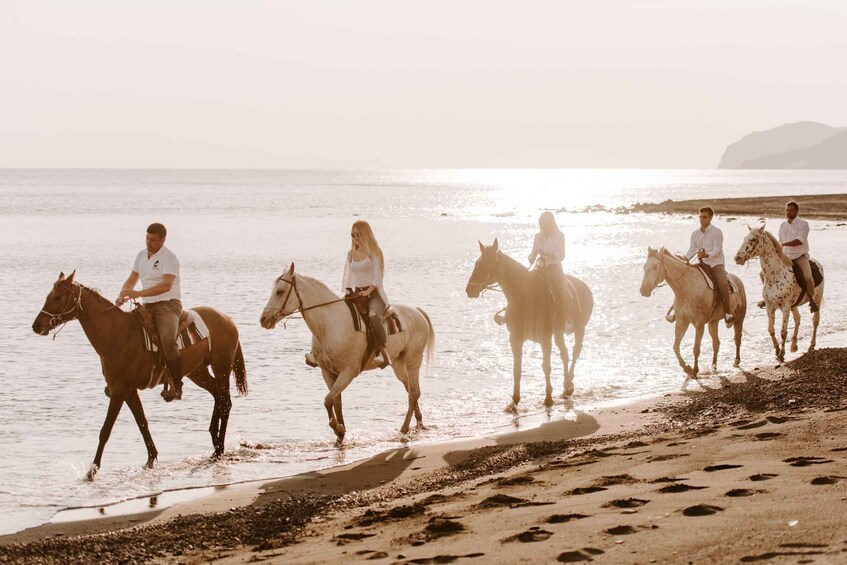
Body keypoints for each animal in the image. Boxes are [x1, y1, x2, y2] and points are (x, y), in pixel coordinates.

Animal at [30, 270, 248, 478]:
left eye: (57, 297)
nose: (36, 325)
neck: (117, 334)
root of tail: (227, 319)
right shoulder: (129, 392)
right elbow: (142, 423)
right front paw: (151, 459)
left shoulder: (119, 391)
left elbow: (105, 430)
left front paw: (92, 470)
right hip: (198, 372)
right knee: (218, 396)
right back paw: (214, 441)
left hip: (221, 369)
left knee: (225, 402)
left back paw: (219, 449)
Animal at [260, 264, 438, 440]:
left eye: (280, 291)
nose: (263, 319)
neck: (331, 324)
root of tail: (417, 311)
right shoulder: (328, 373)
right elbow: (336, 403)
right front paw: (340, 434)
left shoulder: (347, 373)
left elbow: (327, 401)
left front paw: (338, 429)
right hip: (398, 364)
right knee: (410, 390)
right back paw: (418, 421)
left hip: (413, 362)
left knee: (413, 393)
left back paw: (405, 428)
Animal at [464, 238, 596, 410]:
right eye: (477, 263)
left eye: (486, 264)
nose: (469, 290)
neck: (525, 296)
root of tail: (584, 286)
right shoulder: (515, 339)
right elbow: (517, 369)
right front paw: (514, 400)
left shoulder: (545, 339)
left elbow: (546, 366)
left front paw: (548, 398)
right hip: (559, 333)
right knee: (565, 354)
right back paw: (566, 388)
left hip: (580, 328)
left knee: (575, 352)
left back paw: (568, 386)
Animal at [644, 248, 748, 376]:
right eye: (644, 267)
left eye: (654, 267)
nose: (643, 290)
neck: (687, 288)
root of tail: (738, 280)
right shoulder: (681, 322)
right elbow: (675, 347)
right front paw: (687, 368)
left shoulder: (699, 324)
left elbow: (696, 348)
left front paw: (694, 370)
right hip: (713, 322)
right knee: (716, 343)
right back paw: (713, 366)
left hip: (739, 318)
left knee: (737, 338)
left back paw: (736, 361)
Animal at [732, 226, 824, 362]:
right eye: (745, 238)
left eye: (753, 239)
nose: (737, 258)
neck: (776, 275)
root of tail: (817, 264)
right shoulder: (770, 307)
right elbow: (771, 329)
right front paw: (776, 350)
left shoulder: (785, 307)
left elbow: (783, 332)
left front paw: (781, 354)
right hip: (793, 306)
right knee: (798, 319)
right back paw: (794, 346)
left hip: (816, 300)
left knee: (815, 321)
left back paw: (811, 346)